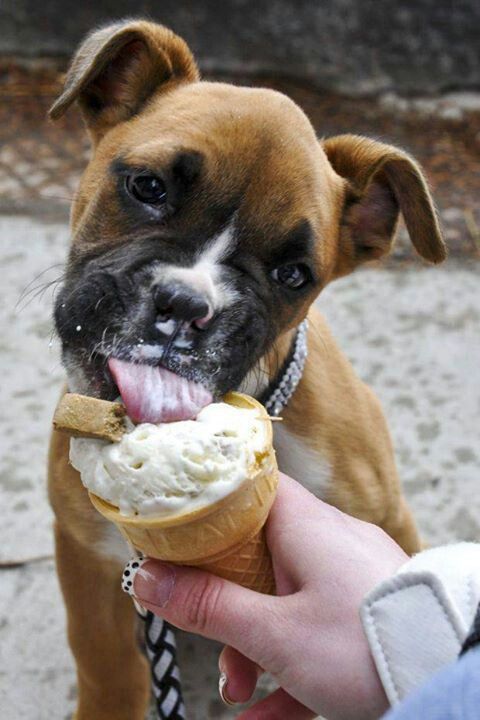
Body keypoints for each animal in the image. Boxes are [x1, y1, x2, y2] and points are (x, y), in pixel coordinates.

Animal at [47, 18, 446, 720]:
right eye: (147, 187)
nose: (185, 306)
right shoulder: (86, 563)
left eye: (294, 275)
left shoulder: (385, 520)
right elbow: (107, 670)